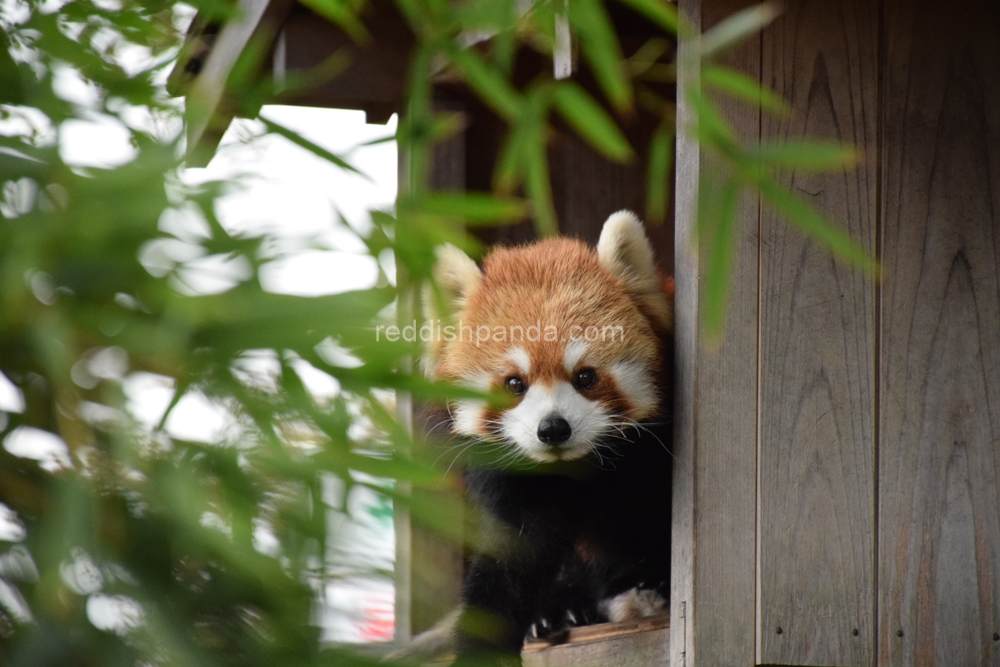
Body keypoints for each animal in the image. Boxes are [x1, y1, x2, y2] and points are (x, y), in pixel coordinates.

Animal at [422, 211, 672, 664]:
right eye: (514, 383)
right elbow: (514, 559)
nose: (553, 427)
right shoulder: (519, 480)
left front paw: (648, 582)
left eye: (585, 376)